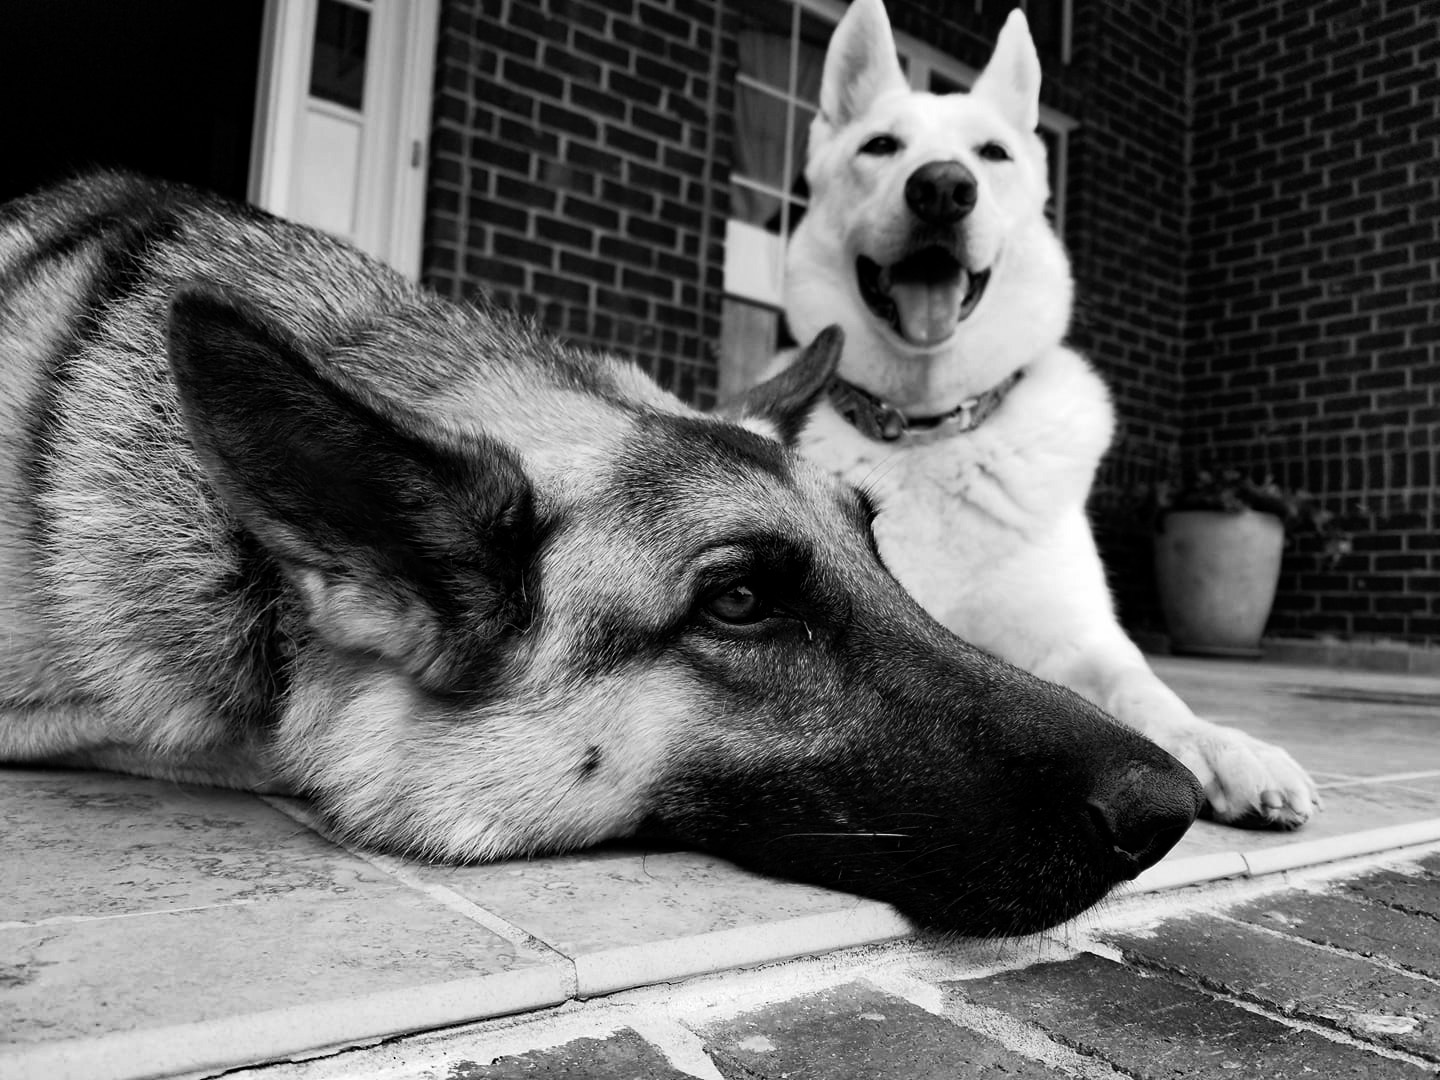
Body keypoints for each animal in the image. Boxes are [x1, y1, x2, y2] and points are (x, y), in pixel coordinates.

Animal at [771, 0, 1317, 829]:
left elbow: (1148, 689)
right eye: (881, 147)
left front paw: (1221, 743)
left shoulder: (1080, 641)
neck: (929, 429)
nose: (942, 188)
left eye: (992, 154)